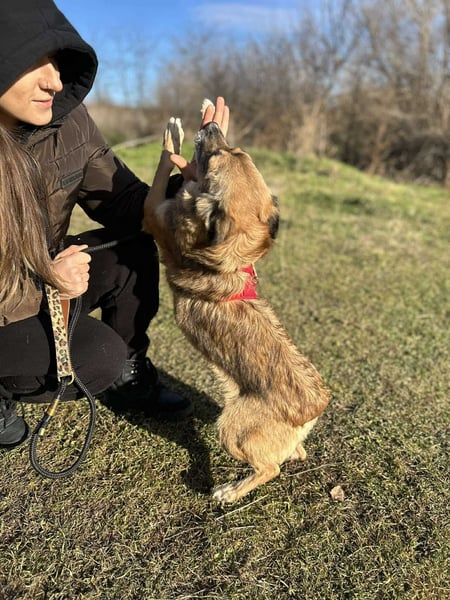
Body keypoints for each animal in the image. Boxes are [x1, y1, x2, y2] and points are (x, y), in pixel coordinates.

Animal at [143, 101, 330, 502]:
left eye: (217, 159)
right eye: (235, 150)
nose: (213, 126)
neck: (231, 250)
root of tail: (314, 409)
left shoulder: (153, 212)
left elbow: (165, 162)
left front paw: (172, 133)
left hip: (228, 427)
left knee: (270, 468)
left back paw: (229, 492)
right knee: (294, 454)